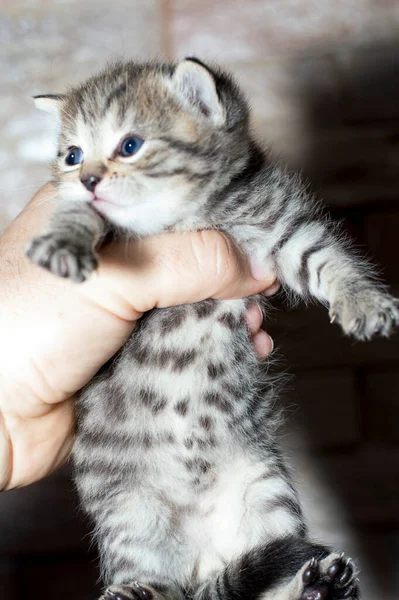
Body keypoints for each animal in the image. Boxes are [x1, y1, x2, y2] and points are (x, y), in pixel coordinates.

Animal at [26, 58, 398, 600]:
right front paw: (63, 239)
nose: (89, 178)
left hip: (266, 488)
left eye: (130, 145)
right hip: (129, 515)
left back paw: (320, 585)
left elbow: (327, 259)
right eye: (72, 156)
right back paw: (136, 592)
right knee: (157, 582)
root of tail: (204, 569)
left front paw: (364, 301)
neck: (190, 216)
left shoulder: (282, 229)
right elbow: (81, 215)